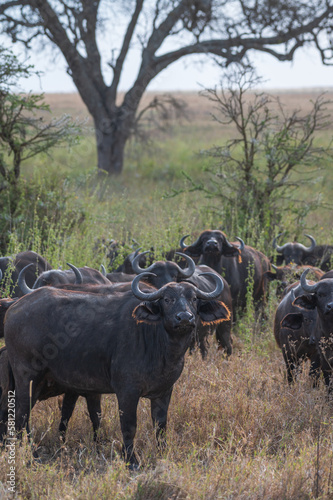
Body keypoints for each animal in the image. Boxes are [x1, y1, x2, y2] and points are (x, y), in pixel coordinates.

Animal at [4, 272, 228, 466]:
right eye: (167, 299)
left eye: (194, 299)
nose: (185, 318)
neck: (161, 346)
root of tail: (13, 308)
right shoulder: (127, 391)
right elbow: (129, 426)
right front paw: (131, 460)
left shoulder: (164, 391)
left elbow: (160, 425)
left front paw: (163, 454)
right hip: (26, 377)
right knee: (21, 415)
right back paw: (31, 454)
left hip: (39, 382)